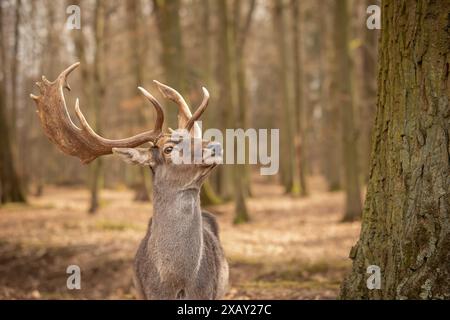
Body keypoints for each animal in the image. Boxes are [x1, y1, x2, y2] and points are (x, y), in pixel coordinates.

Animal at [29, 63, 229, 300]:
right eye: (168, 149)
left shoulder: (208, 292)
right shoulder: (147, 292)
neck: (177, 281)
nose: (215, 146)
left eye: (195, 138)